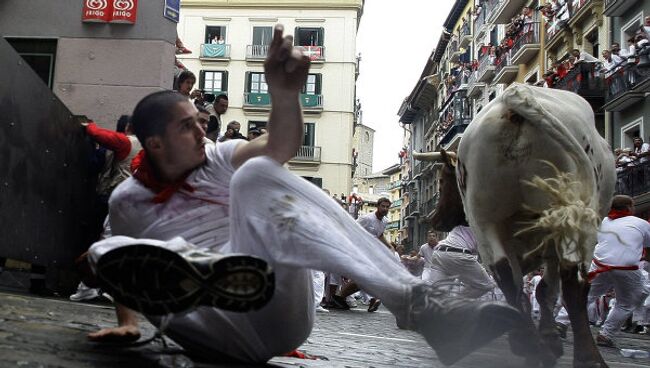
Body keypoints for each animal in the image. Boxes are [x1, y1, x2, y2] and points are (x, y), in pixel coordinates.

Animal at [416, 84, 612, 368]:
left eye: (442, 179)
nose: (435, 219)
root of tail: (514, 99)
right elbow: (546, 289)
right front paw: (550, 338)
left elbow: (529, 289)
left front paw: (537, 337)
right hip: (569, 215)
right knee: (573, 283)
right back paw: (586, 357)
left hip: (484, 217)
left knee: (506, 277)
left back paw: (528, 343)